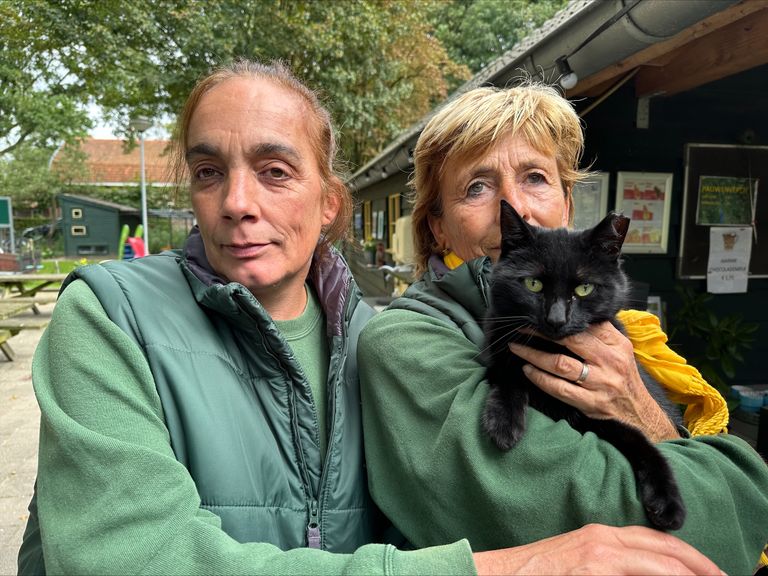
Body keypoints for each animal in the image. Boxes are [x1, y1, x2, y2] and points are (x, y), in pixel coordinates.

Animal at [484, 199, 688, 532]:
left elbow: (641, 441)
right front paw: (503, 424)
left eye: (584, 289)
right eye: (533, 284)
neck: (554, 348)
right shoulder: (500, 351)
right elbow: (508, 376)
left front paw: (668, 504)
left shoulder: (599, 416)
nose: (556, 319)